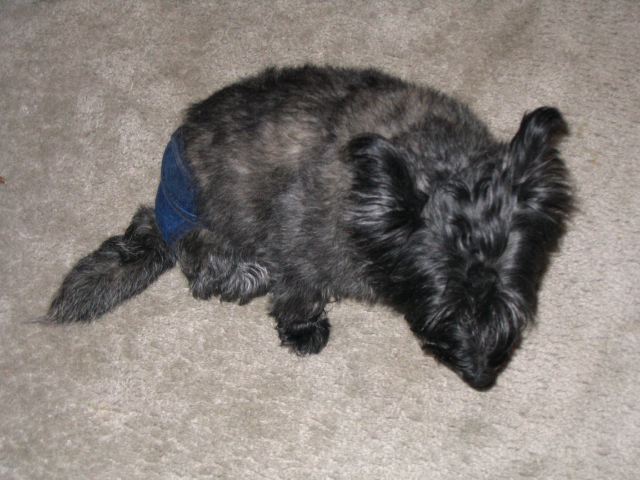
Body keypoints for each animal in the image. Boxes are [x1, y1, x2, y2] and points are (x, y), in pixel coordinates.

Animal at [47, 65, 573, 390]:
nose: (482, 375)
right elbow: (298, 293)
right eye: (444, 307)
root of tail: (163, 202)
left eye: (511, 302)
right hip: (206, 223)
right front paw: (303, 330)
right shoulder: (299, 248)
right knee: (200, 266)